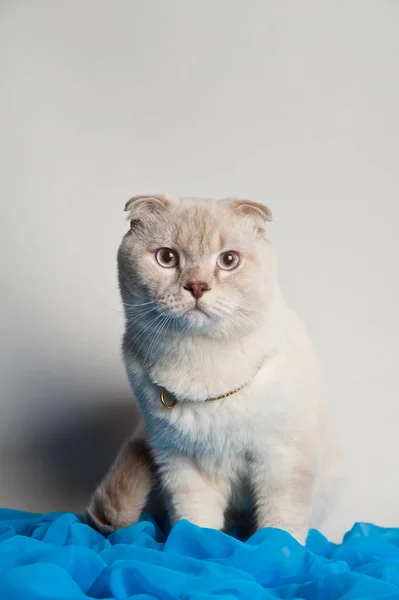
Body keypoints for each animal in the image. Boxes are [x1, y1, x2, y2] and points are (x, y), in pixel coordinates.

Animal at [87, 197, 340, 544]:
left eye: (228, 260)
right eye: (167, 258)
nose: (197, 286)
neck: (200, 367)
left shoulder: (280, 460)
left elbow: (280, 528)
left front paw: (273, 553)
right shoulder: (183, 464)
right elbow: (196, 525)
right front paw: (200, 550)